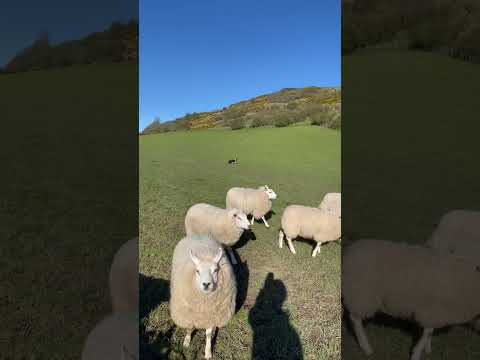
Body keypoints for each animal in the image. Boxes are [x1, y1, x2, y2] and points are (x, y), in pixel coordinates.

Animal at [342, 239, 480, 360]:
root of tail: (349, 252)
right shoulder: (432, 309)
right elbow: (427, 332)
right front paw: (417, 353)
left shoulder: (434, 312)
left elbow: (429, 331)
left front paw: (427, 349)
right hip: (361, 295)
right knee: (355, 319)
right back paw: (366, 348)